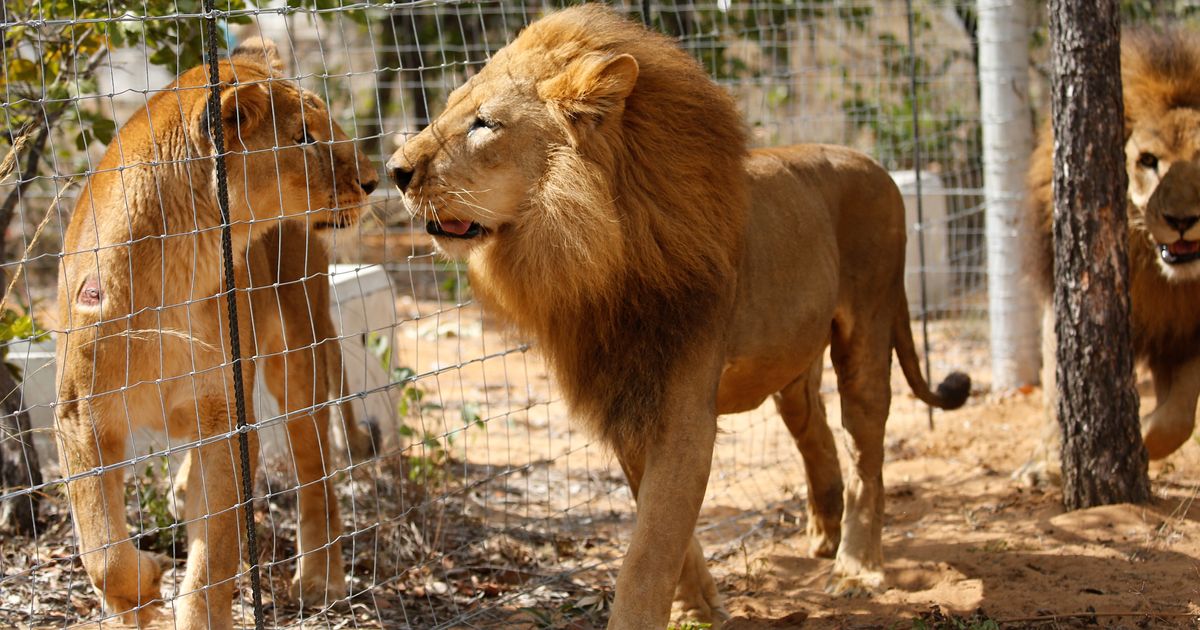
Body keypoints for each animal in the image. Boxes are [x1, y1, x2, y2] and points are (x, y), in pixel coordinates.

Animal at [52, 40, 374, 628]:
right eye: (304, 137)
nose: (373, 180)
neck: (182, 268)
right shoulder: (80, 417)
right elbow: (103, 550)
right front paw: (141, 596)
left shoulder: (227, 418)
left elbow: (215, 555)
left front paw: (193, 611)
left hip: (300, 353)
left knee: (317, 473)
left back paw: (321, 580)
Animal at [388, 6, 969, 628]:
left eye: (484, 124)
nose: (395, 170)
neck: (596, 256)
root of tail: (877, 165)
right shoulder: (625, 397)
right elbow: (666, 533)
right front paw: (697, 609)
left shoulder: (682, 409)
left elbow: (649, 549)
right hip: (792, 366)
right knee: (816, 435)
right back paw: (823, 536)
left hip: (868, 326)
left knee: (868, 453)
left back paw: (857, 568)